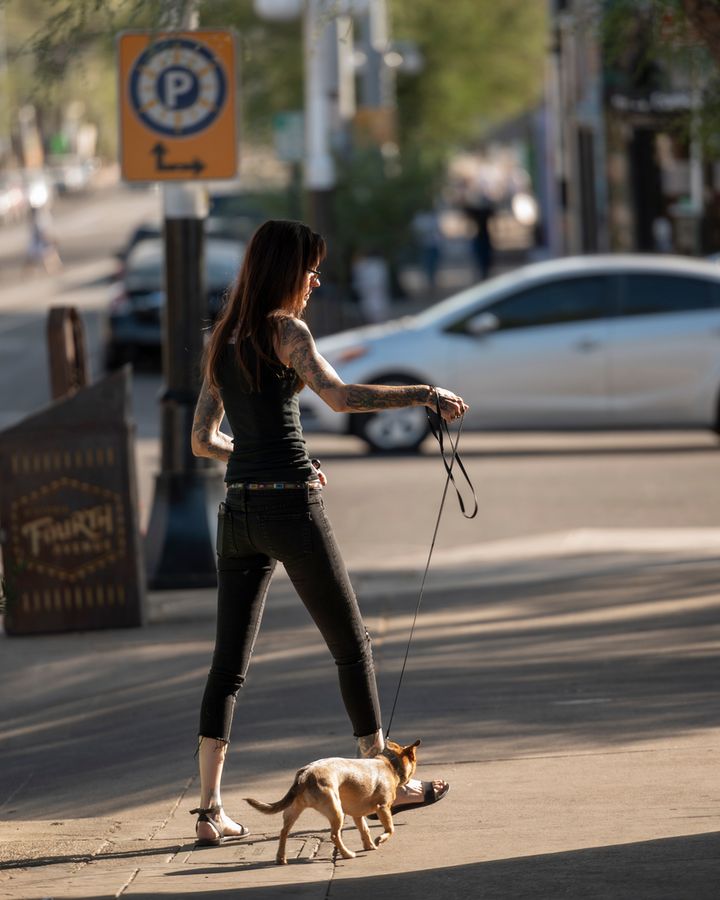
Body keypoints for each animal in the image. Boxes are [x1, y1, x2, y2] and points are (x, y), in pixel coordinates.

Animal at [245, 740, 420, 864]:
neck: (390, 764)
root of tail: (305, 774)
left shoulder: (357, 815)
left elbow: (365, 830)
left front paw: (369, 845)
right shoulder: (383, 808)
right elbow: (390, 829)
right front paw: (380, 840)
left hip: (292, 811)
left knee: (283, 832)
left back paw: (281, 858)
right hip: (337, 812)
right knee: (334, 835)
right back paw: (347, 854)